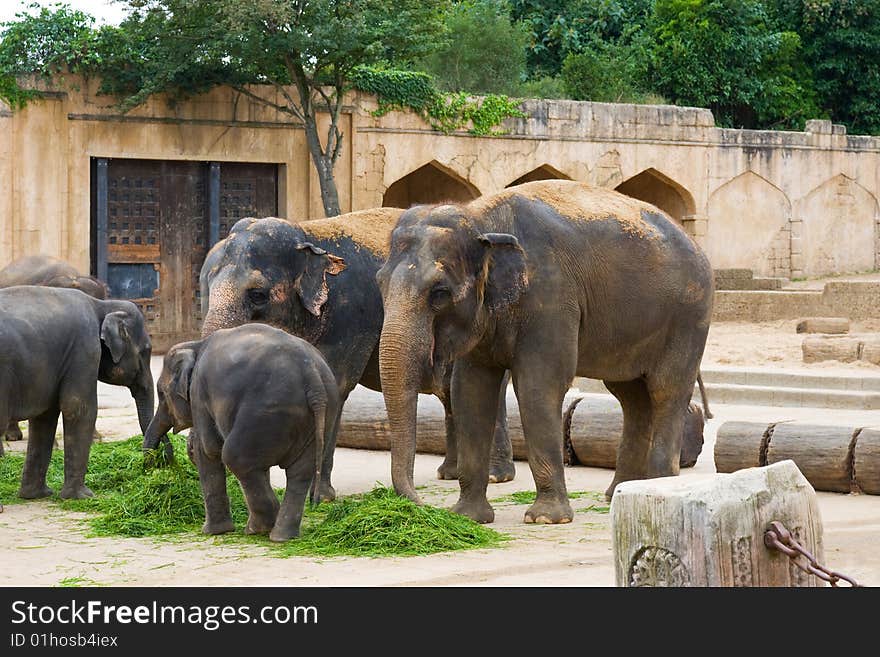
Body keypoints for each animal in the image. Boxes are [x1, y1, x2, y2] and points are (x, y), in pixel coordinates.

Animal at [143, 322, 338, 544]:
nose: (148, 469)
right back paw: (281, 536)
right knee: (299, 472)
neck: (195, 345)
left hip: (265, 409)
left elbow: (208, 450)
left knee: (235, 457)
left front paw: (212, 532)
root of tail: (311, 375)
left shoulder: (199, 394)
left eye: (160, 393)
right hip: (318, 416)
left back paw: (259, 529)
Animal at [199, 213, 516, 500]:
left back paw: (495, 476)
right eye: (205, 287)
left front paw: (321, 497)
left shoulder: (351, 318)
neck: (306, 233)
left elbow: (334, 388)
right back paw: (449, 473)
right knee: (450, 394)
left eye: (257, 295)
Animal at [376, 178, 716, 524]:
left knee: (666, 391)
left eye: (440, 293)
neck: (482, 219)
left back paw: (657, 487)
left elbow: (538, 386)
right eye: (379, 282)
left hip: (690, 315)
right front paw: (468, 517)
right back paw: (617, 495)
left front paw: (545, 519)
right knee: (631, 398)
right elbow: (470, 391)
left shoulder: (552, 296)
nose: (419, 506)